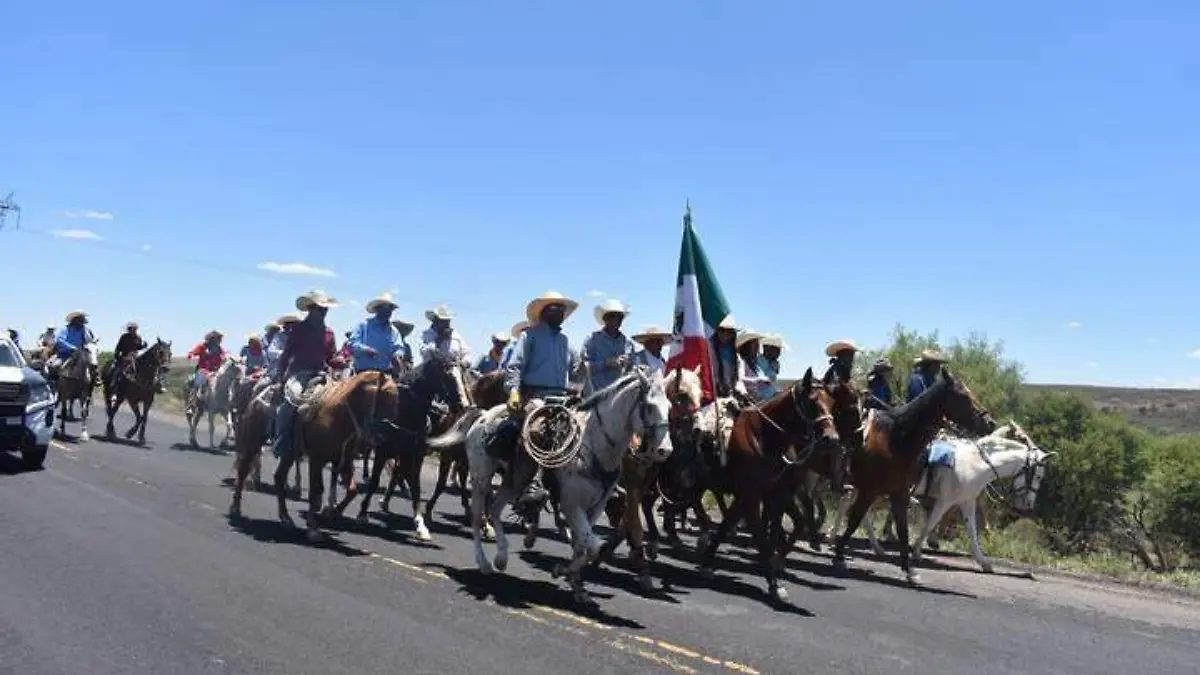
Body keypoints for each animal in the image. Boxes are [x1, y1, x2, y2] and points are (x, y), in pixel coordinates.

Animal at [348, 357, 468, 540]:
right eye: (447, 374)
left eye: (461, 375)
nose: (463, 405)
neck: (405, 411)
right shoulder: (383, 451)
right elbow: (375, 482)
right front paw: (362, 514)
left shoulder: (415, 455)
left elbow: (416, 486)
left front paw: (420, 524)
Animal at [436, 365, 676, 607]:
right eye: (649, 406)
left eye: (669, 407)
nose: (665, 451)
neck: (592, 443)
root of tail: (483, 415)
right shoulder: (571, 504)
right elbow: (591, 546)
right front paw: (563, 571)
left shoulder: (596, 507)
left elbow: (582, 546)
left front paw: (576, 585)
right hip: (481, 476)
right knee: (478, 516)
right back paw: (484, 563)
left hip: (515, 479)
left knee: (494, 508)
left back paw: (501, 558)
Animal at [696, 367, 844, 598]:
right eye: (811, 401)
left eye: (832, 402)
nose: (832, 438)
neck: (762, 436)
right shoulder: (754, 495)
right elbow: (760, 534)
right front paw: (774, 581)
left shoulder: (771, 494)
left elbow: (734, 522)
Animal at [830, 365, 998, 581]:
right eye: (963, 396)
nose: (990, 423)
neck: (895, 440)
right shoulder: (869, 490)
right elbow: (855, 520)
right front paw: (839, 556)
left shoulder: (899, 493)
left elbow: (903, 529)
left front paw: (909, 569)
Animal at [830, 422, 1056, 569]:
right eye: (1038, 475)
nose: (1028, 505)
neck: (976, 464)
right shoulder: (944, 501)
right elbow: (931, 522)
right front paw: (917, 550)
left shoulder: (966, 502)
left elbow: (972, 531)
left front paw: (983, 561)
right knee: (854, 506)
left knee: (855, 508)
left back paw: (863, 544)